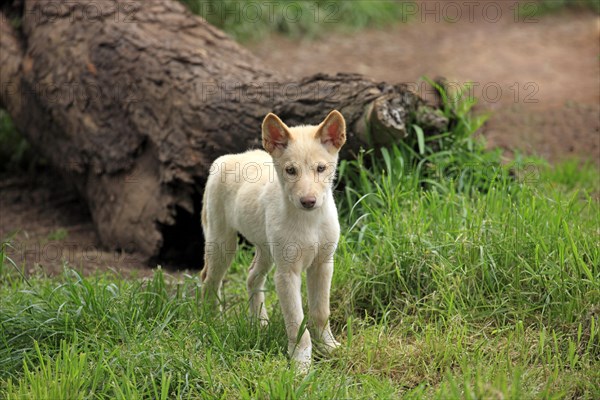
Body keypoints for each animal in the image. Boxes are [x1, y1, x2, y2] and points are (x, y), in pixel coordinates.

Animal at [199, 110, 344, 372]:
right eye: (291, 170)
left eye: (320, 168)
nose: (308, 201)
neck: (309, 221)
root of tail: (227, 158)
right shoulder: (287, 273)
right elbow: (296, 323)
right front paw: (301, 364)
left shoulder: (323, 264)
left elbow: (320, 312)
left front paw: (328, 347)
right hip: (222, 242)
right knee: (209, 280)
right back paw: (212, 322)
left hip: (265, 249)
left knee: (251, 277)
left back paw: (260, 323)